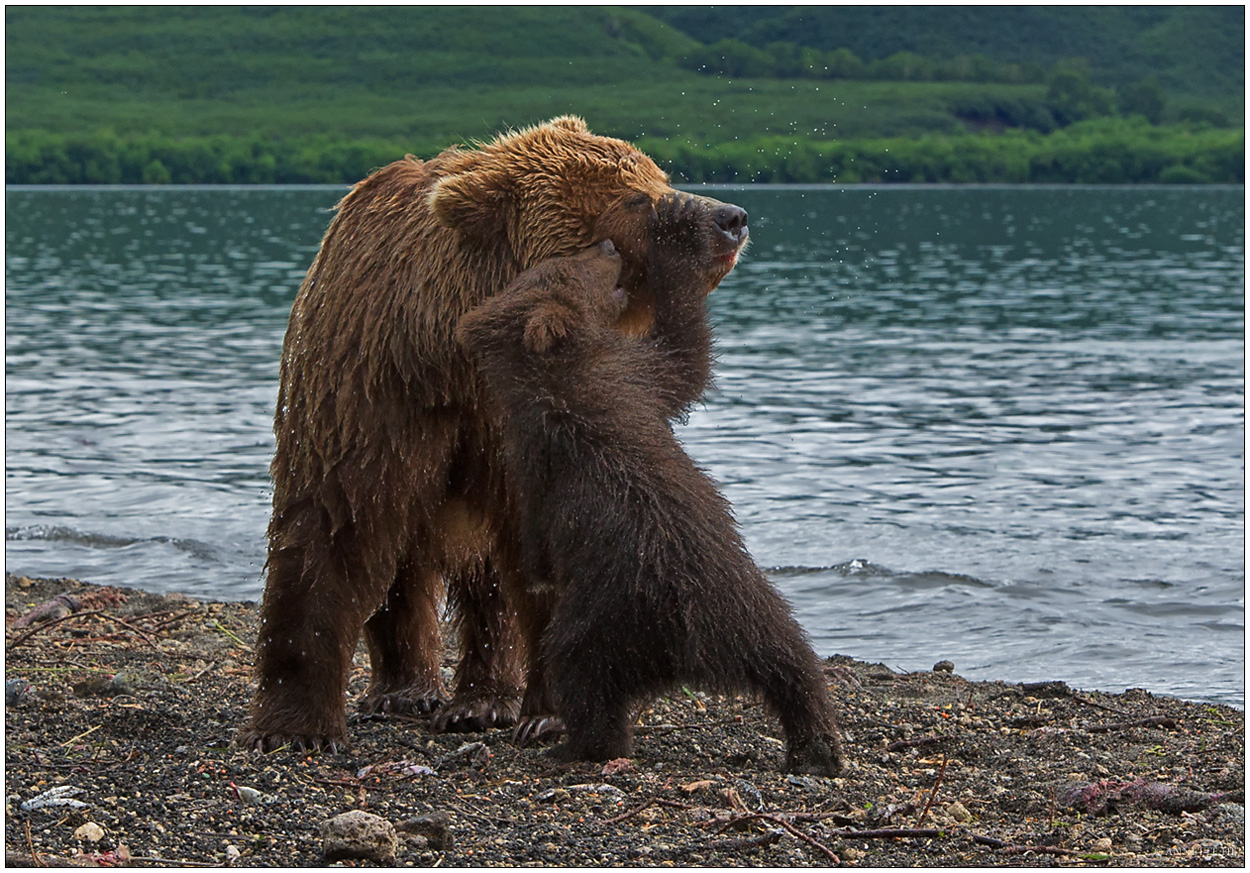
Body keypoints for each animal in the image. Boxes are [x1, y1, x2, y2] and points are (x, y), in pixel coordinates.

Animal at [241, 115, 750, 750]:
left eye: (657, 174)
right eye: (635, 196)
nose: (731, 217)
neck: (449, 354)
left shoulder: (525, 424)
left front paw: (548, 711)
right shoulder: (367, 384)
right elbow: (334, 523)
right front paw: (295, 727)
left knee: (491, 577)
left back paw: (481, 701)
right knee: (402, 557)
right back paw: (405, 690)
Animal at [455, 198, 845, 775]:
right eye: (558, 268)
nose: (606, 246)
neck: (567, 374)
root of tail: (690, 649)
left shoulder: (544, 447)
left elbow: (536, 527)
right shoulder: (632, 380)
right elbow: (684, 353)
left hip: (605, 619)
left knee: (582, 677)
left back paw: (579, 745)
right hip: (753, 609)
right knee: (794, 664)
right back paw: (817, 746)